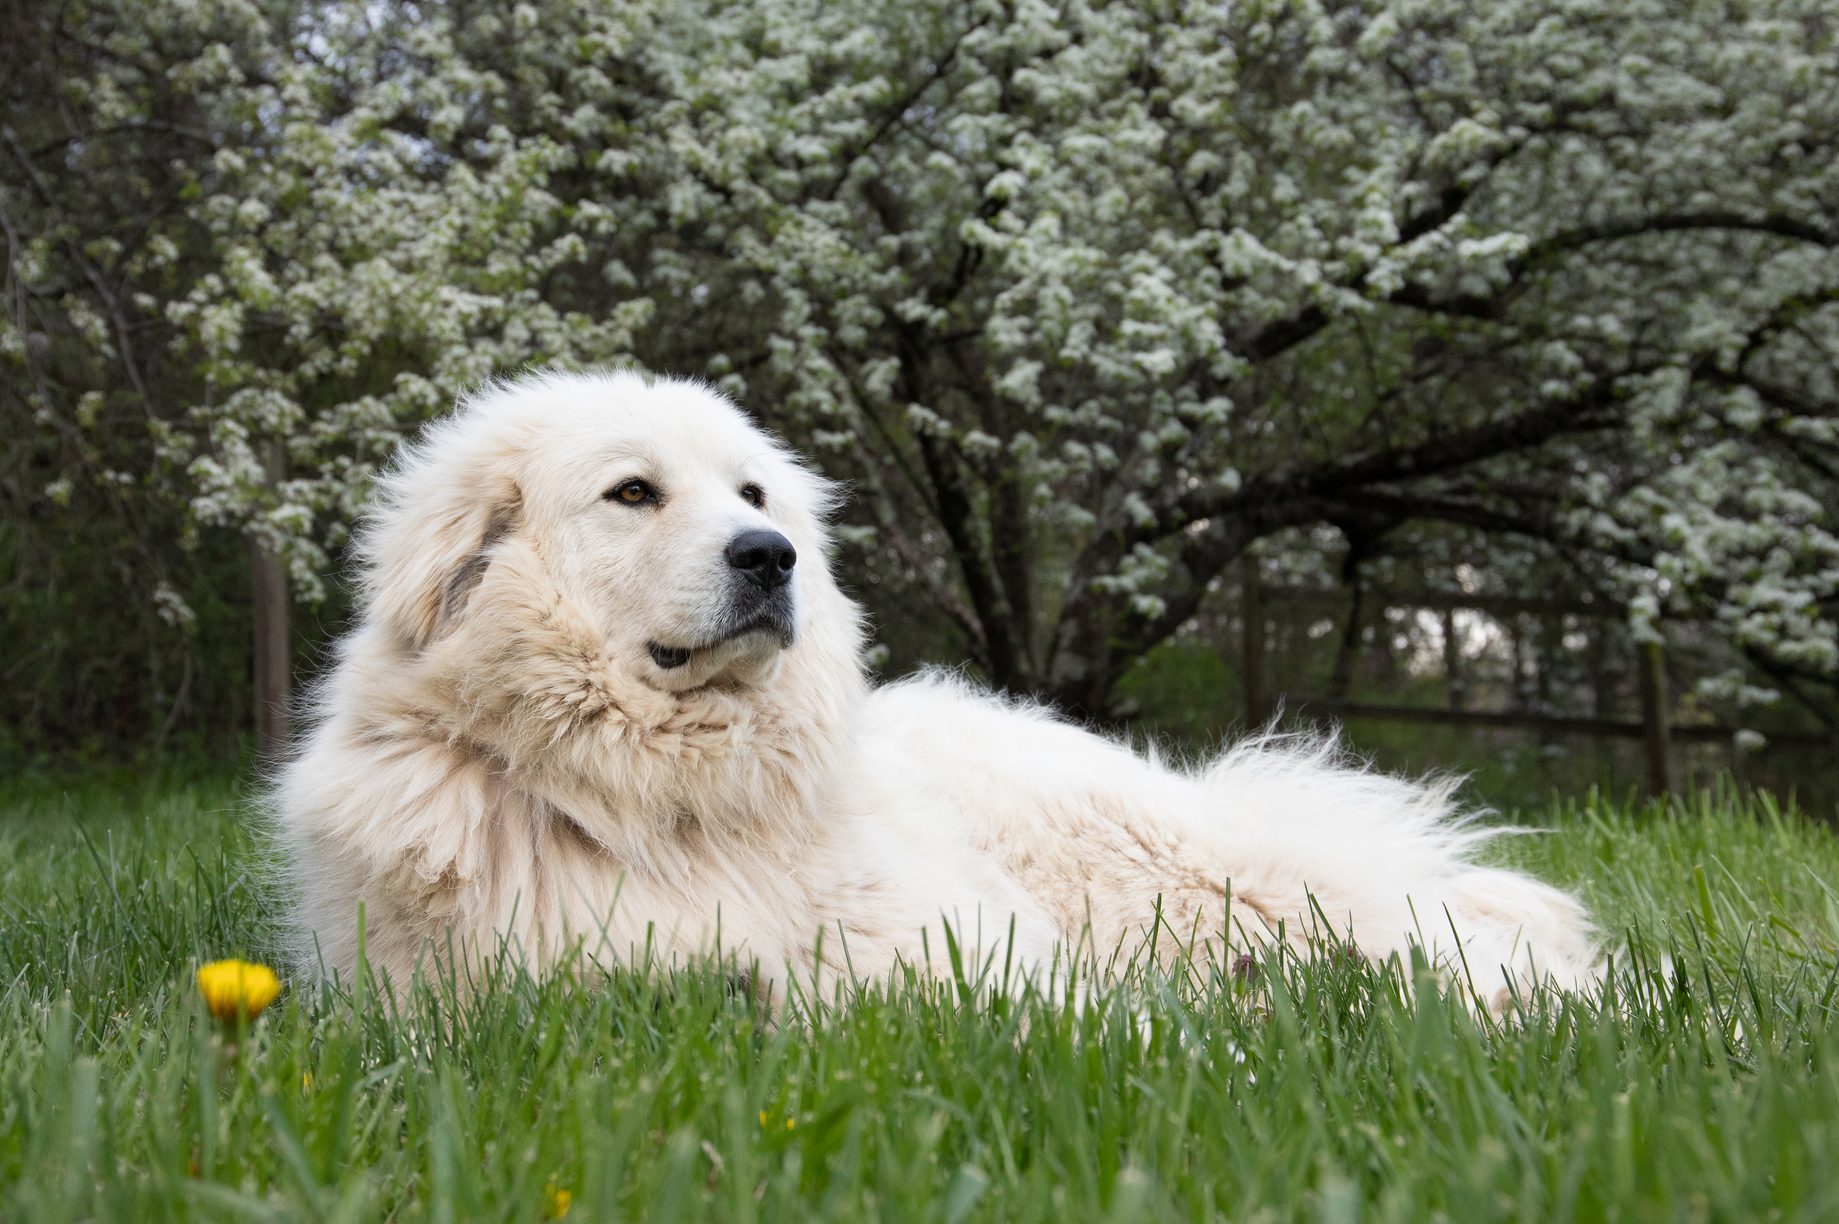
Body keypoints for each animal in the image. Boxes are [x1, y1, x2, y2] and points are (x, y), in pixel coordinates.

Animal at [275, 369, 1610, 1007]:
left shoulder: (954, 953)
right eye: (633, 493)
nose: (773, 557)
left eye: (753, 493)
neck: (666, 801)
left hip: (1211, 883)